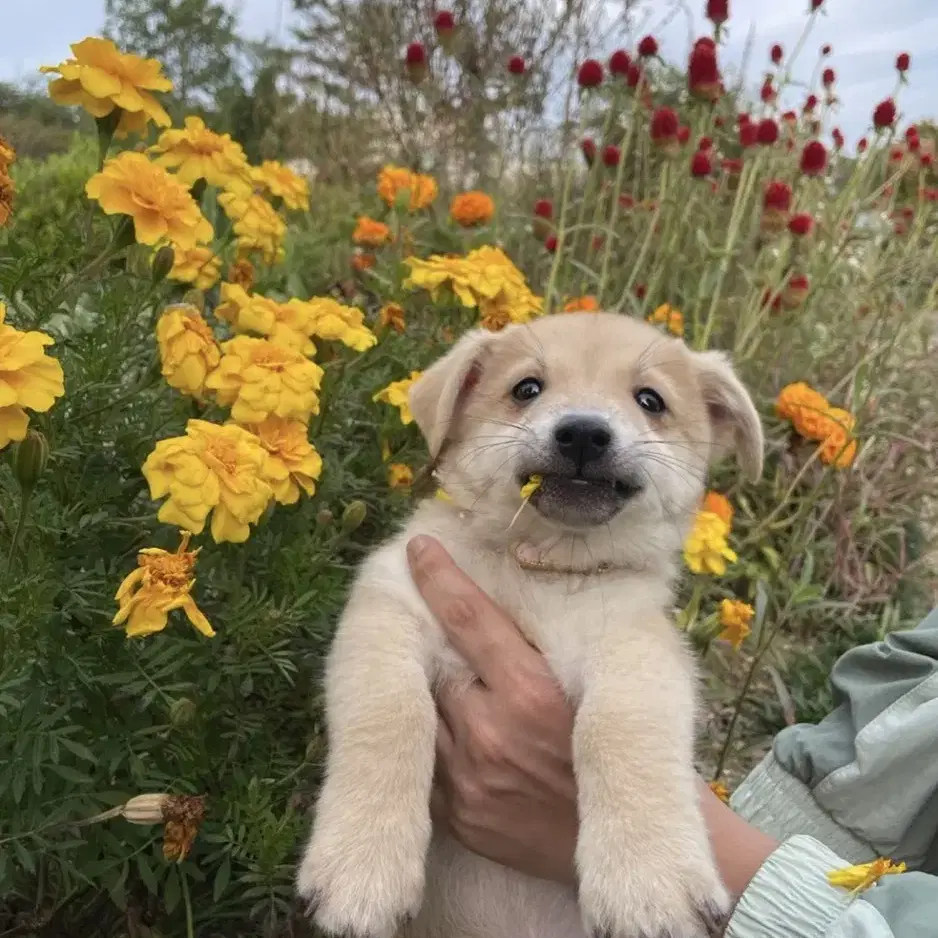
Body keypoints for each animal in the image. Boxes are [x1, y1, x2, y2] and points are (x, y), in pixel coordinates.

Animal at [296, 314, 764, 936]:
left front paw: (649, 883)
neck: (541, 570)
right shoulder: (391, 602)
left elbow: (620, 728)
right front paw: (362, 866)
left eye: (650, 400)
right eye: (527, 388)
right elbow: (391, 716)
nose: (584, 433)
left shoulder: (637, 646)